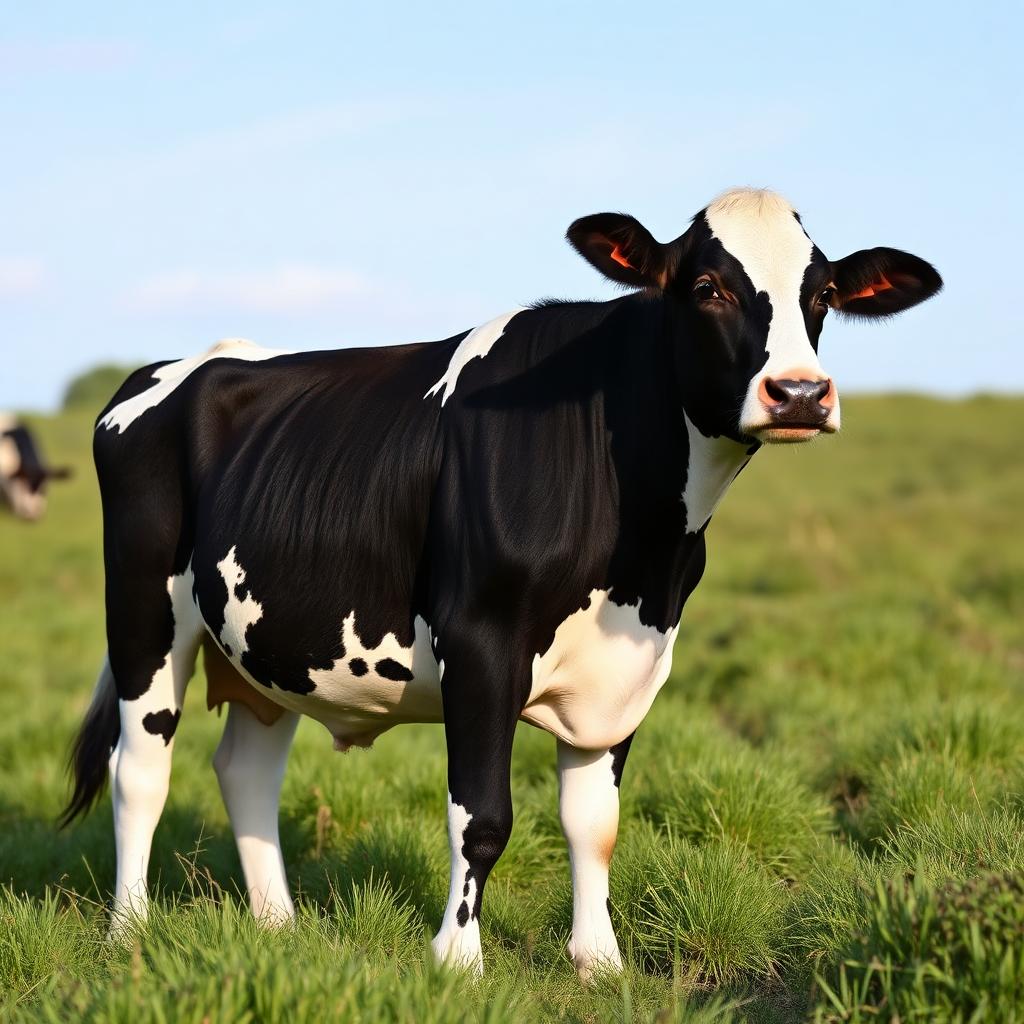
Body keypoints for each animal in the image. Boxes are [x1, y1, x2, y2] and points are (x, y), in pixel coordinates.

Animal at [62, 189, 941, 978]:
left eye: (821, 295)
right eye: (708, 286)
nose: (800, 393)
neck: (643, 549)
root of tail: (187, 363)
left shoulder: (632, 662)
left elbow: (593, 822)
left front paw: (600, 963)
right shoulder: (480, 641)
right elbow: (481, 816)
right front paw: (458, 962)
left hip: (267, 641)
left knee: (245, 769)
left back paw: (277, 930)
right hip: (143, 609)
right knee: (140, 772)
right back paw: (128, 935)